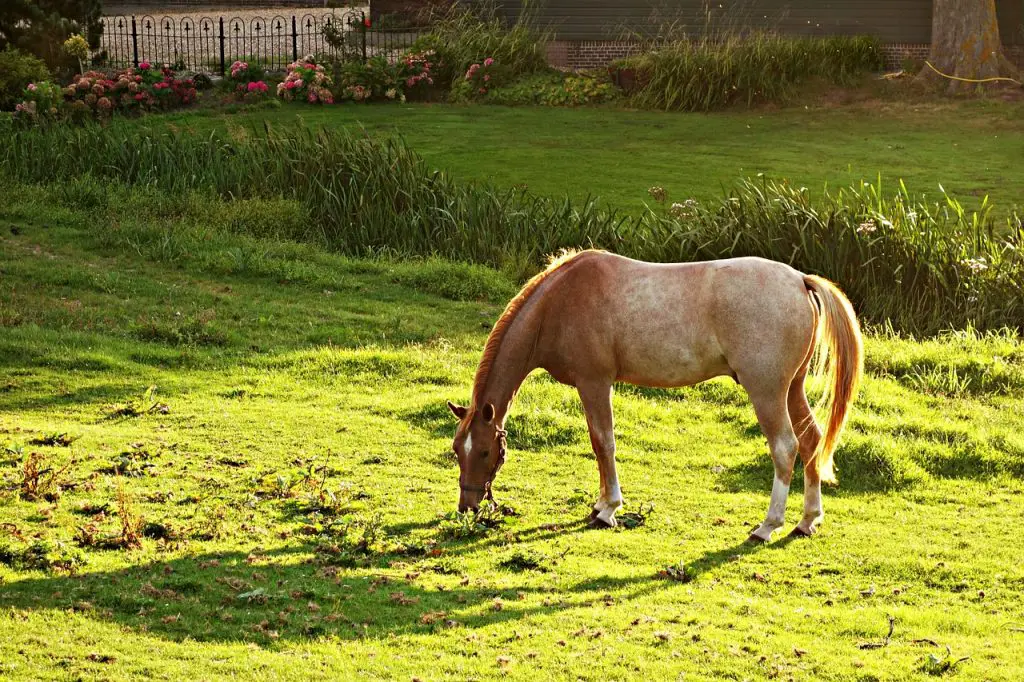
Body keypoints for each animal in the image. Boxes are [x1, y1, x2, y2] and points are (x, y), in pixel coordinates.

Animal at [448, 246, 864, 540]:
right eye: (457, 450)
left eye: (484, 451)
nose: (468, 505)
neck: (560, 303)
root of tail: (800, 280)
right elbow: (599, 444)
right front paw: (600, 503)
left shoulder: (594, 383)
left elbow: (603, 442)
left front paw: (609, 509)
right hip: (792, 389)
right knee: (811, 441)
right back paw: (807, 520)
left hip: (767, 392)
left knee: (785, 448)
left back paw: (768, 525)